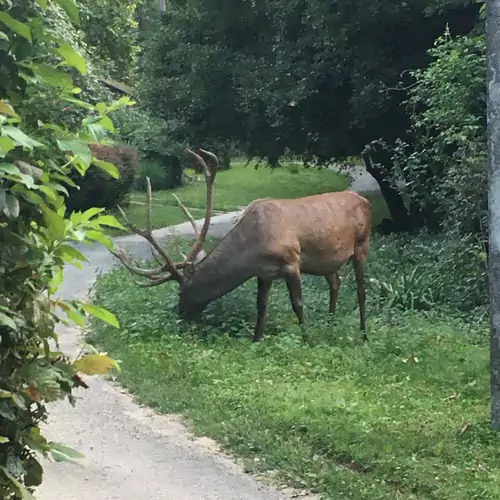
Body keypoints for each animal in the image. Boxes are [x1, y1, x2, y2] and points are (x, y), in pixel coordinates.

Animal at [112, 148, 372, 342]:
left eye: (181, 290)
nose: (180, 313)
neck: (253, 249)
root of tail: (365, 201)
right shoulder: (265, 273)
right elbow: (261, 306)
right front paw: (256, 339)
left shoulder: (291, 262)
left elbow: (297, 304)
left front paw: (306, 338)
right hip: (327, 262)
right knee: (336, 282)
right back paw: (330, 324)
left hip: (362, 244)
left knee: (361, 289)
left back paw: (363, 333)